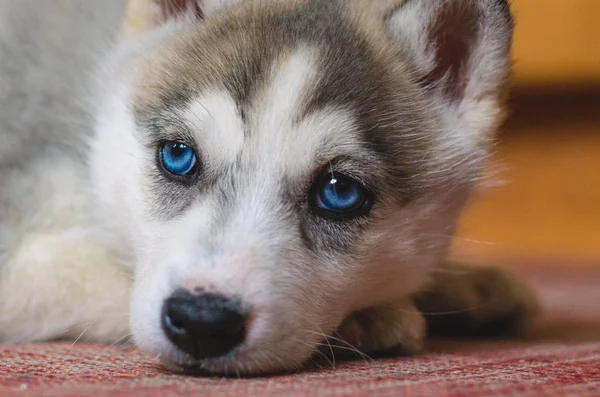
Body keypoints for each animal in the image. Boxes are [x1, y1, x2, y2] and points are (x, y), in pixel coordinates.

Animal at [0, 0, 536, 374]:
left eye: (339, 192)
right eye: (178, 156)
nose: (203, 323)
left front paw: (463, 284)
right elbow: (95, 273)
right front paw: (373, 318)